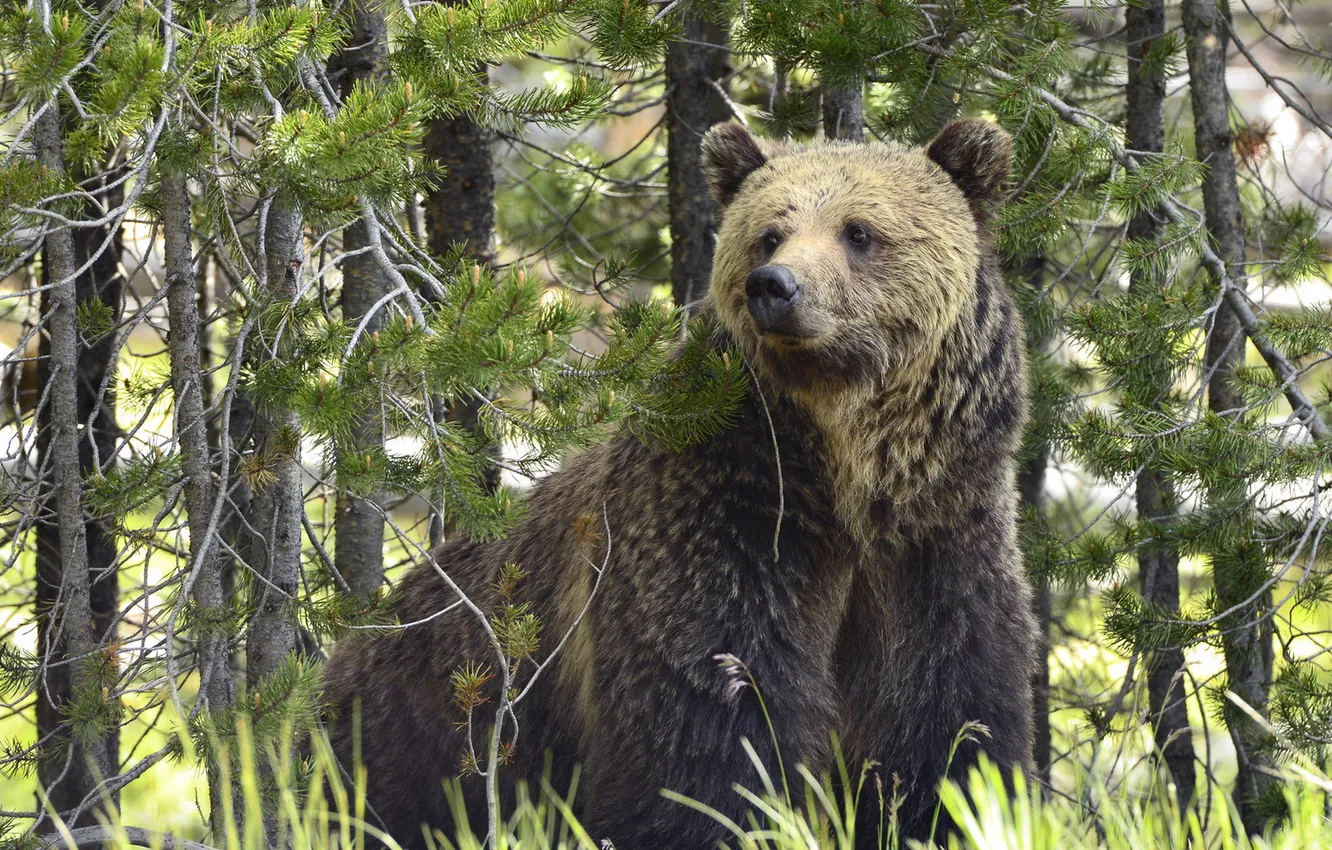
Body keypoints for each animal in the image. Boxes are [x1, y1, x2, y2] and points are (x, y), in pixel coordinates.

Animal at [321, 118, 1035, 850]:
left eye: (858, 231)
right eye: (769, 232)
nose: (774, 285)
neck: (847, 481)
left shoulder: (937, 543)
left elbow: (949, 722)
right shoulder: (727, 524)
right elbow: (708, 727)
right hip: (408, 732)